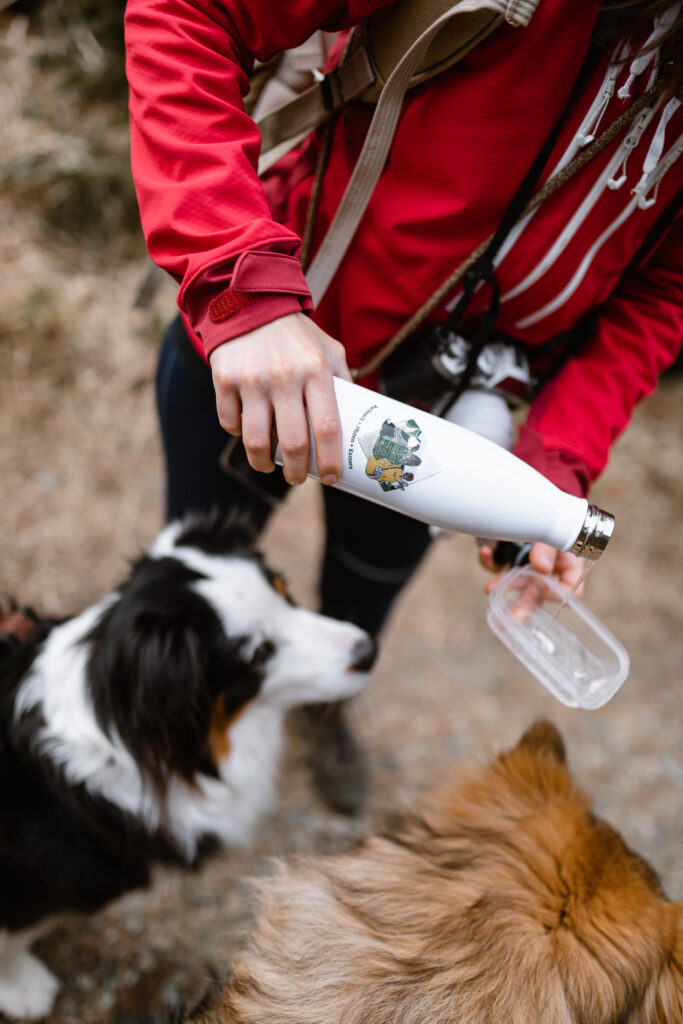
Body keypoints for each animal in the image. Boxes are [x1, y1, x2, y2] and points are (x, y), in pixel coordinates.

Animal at [0, 516, 376, 1019]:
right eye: (258, 654)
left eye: (282, 587)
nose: (368, 650)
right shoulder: (32, 887)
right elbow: (15, 935)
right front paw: (22, 988)